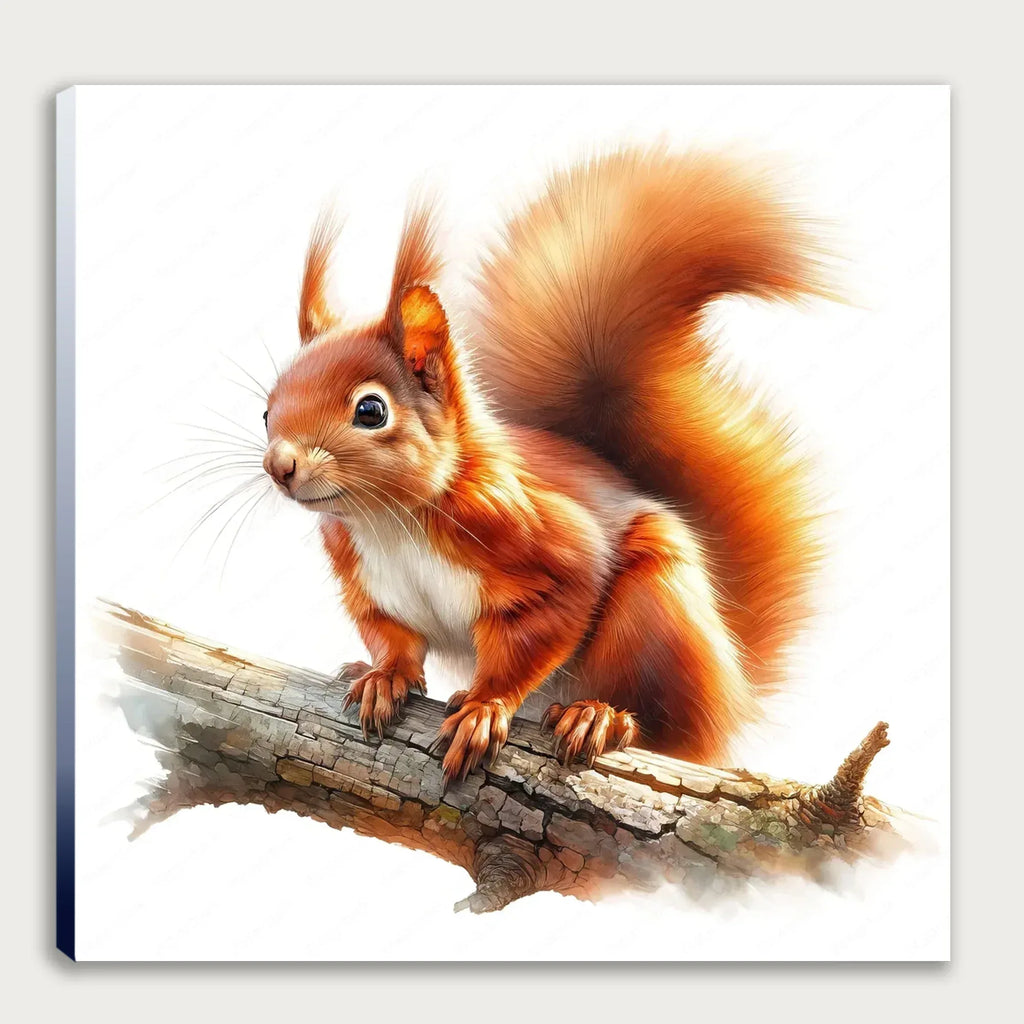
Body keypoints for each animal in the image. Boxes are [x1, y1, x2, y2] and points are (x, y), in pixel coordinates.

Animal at [261, 148, 830, 782]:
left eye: (370, 409)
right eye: (266, 410)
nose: (280, 465)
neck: (389, 521)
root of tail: (733, 694)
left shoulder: (537, 542)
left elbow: (539, 629)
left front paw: (484, 706)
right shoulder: (368, 586)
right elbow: (392, 637)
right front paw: (383, 677)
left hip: (655, 615)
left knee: (666, 730)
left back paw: (601, 717)